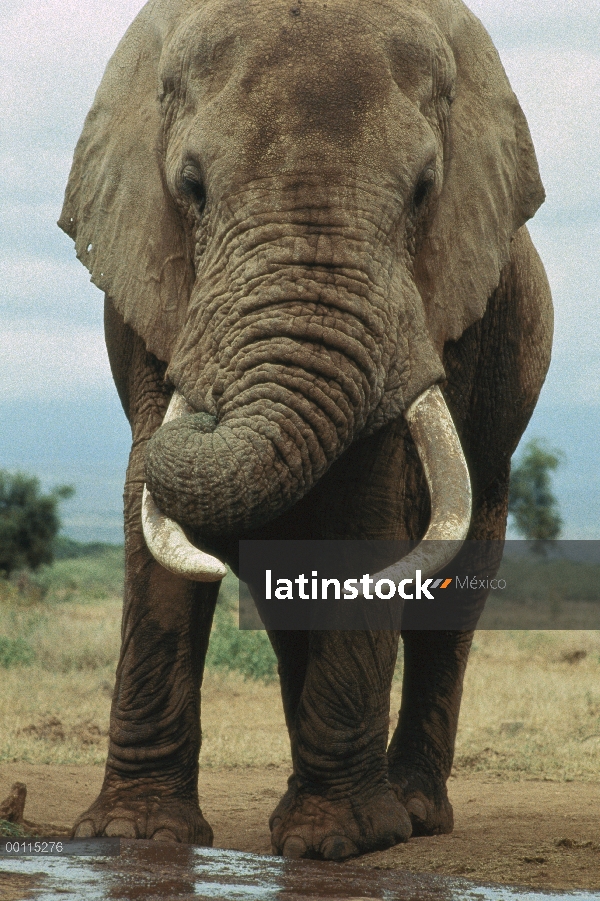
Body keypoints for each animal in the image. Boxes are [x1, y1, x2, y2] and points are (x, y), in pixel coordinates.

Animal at [58, 0, 552, 860]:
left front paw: (337, 842)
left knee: (453, 591)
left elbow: (367, 507)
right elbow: (147, 504)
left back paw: (411, 812)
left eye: (424, 191)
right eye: (190, 187)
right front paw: (133, 834)